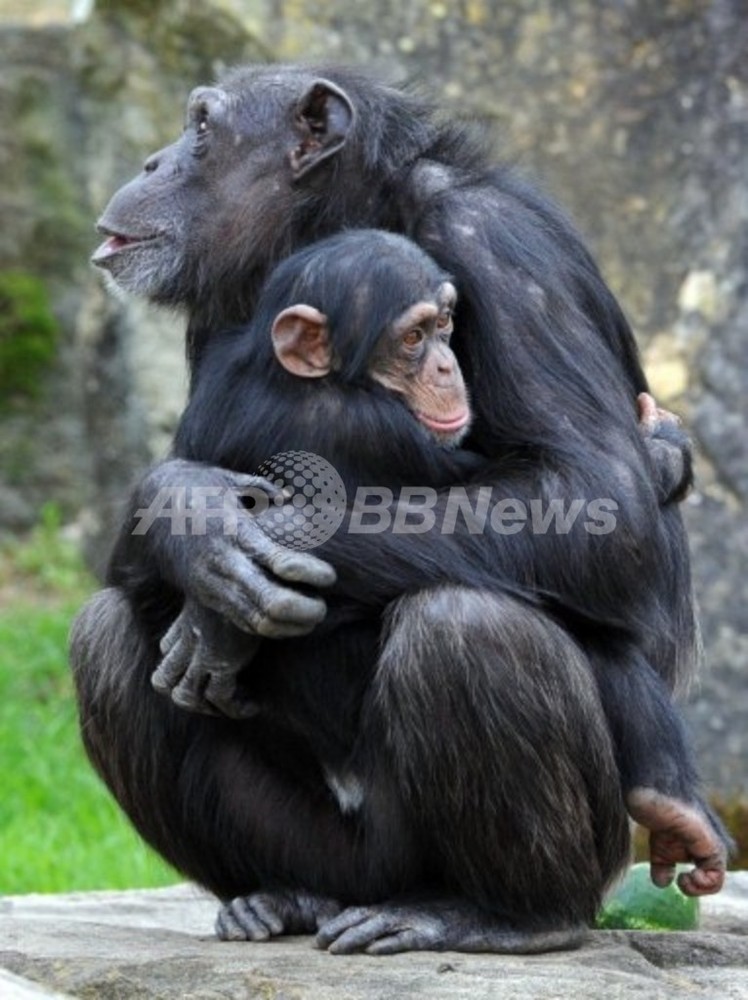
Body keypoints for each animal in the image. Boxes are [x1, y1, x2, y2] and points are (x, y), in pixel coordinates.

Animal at [71, 62, 732, 952]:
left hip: (534, 861)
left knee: (465, 629)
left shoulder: (502, 247)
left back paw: (506, 915)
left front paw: (209, 558)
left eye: (202, 129)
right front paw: (188, 519)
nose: (152, 161)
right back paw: (277, 898)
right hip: (324, 850)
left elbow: (600, 504)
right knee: (103, 637)